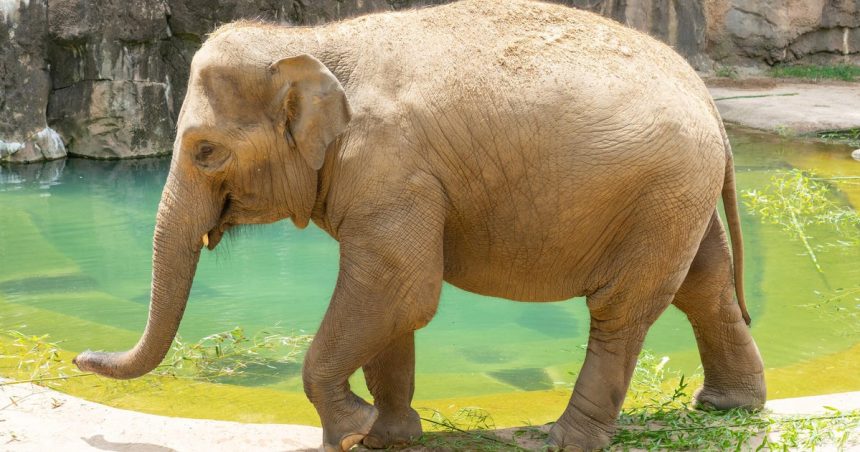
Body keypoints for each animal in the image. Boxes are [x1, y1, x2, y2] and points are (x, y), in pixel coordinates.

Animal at [73, 0, 766, 450]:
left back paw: (560, 439)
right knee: (704, 286)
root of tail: (706, 95)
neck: (315, 42)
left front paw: (351, 431)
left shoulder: (392, 168)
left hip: (661, 190)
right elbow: (395, 302)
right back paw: (729, 406)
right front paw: (389, 435)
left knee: (621, 310)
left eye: (205, 151)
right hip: (679, 195)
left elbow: (399, 287)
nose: (79, 356)